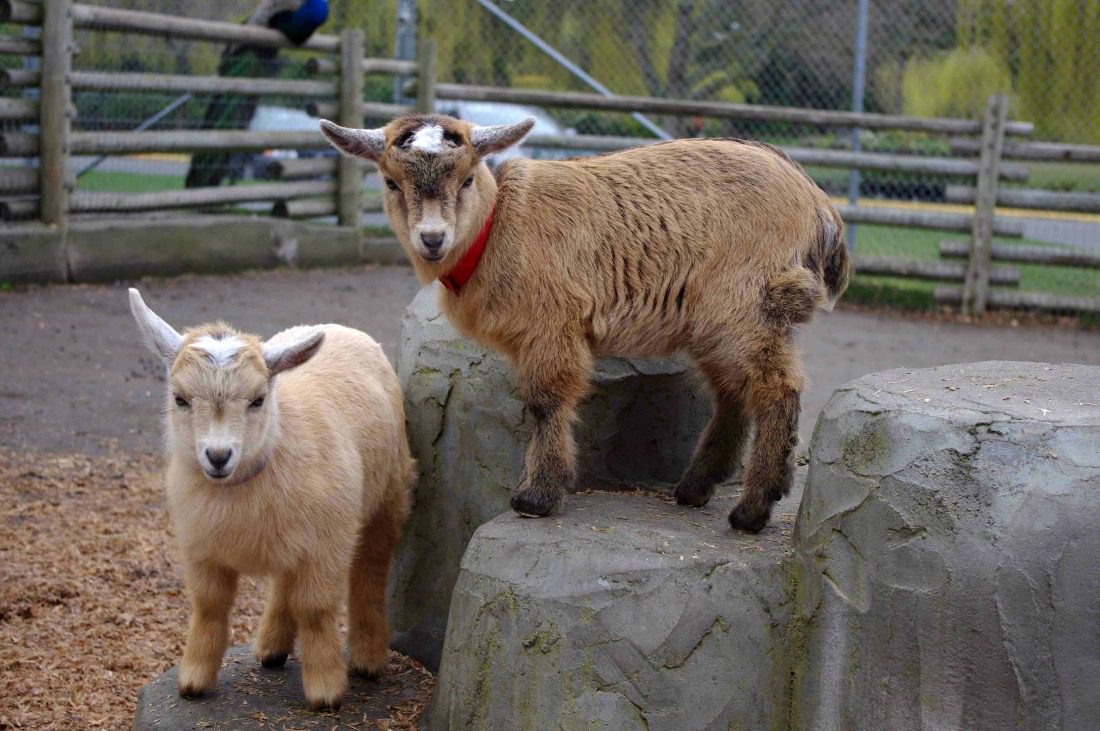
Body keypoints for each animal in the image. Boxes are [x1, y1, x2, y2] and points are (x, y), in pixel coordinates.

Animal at [128, 289, 413, 709]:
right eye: (180, 399)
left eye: (258, 400)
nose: (218, 457)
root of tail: (338, 327)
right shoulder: (201, 549)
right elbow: (209, 607)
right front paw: (193, 680)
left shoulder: (326, 546)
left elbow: (315, 610)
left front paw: (326, 690)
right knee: (284, 582)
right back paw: (272, 648)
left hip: (387, 497)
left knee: (370, 572)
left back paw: (368, 657)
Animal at [320, 114, 847, 533]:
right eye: (391, 182)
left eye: (467, 178)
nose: (432, 239)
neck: (497, 228)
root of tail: (817, 201)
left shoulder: (553, 325)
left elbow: (546, 400)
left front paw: (536, 497)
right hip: (718, 320)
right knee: (734, 392)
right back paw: (695, 488)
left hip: (745, 302)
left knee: (776, 387)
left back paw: (752, 510)